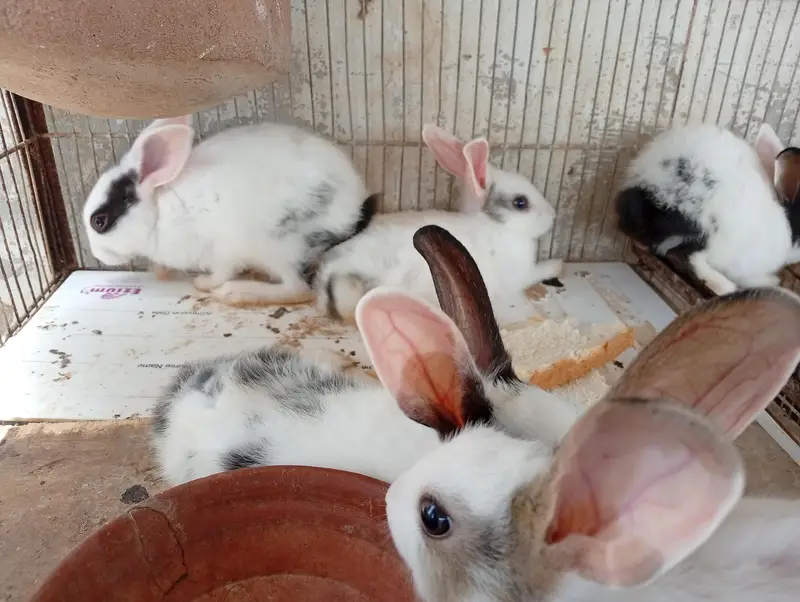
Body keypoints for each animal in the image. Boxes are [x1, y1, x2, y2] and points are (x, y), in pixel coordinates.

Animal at [82, 115, 378, 306]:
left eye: (99, 221)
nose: (97, 254)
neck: (158, 213)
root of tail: (354, 212)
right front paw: (160, 272)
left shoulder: (221, 250)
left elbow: (221, 272)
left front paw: (204, 283)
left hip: (278, 246)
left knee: (298, 289)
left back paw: (236, 293)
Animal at [314, 124, 563, 323]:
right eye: (520, 203)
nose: (553, 215)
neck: (496, 227)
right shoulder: (521, 274)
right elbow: (539, 271)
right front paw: (558, 264)